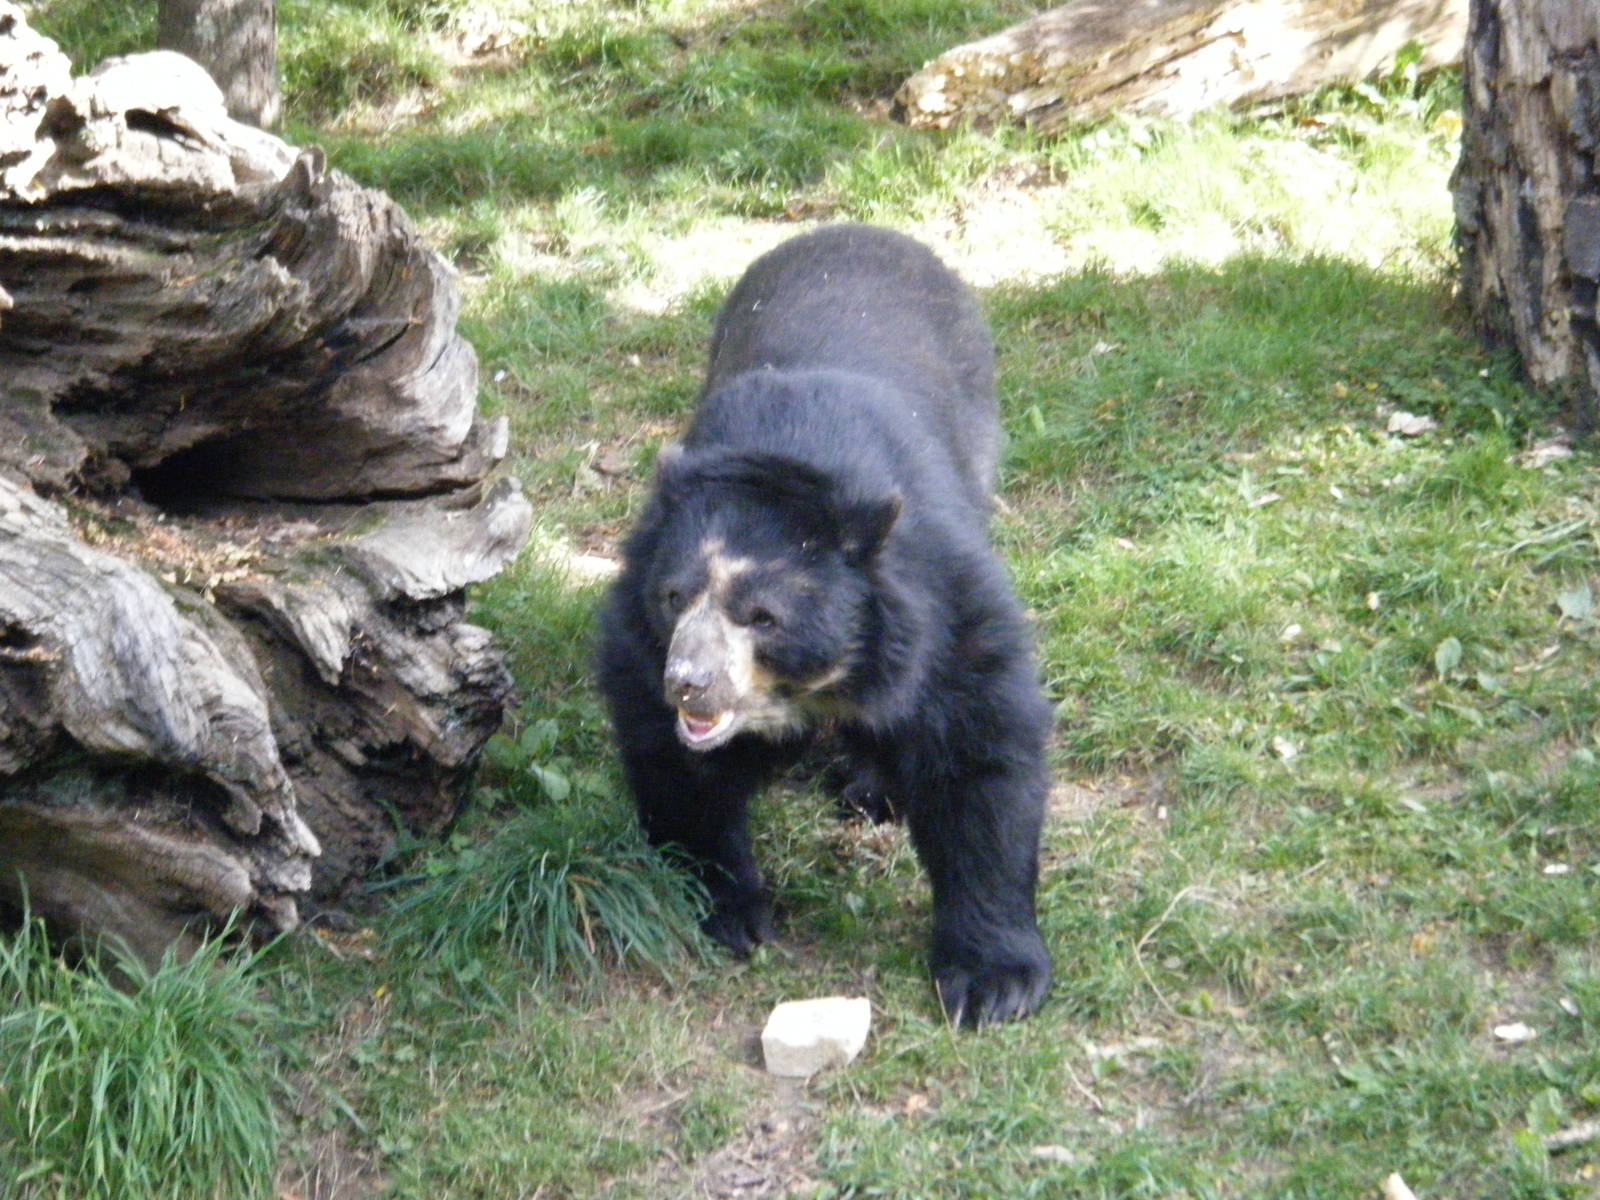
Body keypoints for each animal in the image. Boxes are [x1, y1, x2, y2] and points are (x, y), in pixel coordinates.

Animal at [596, 224, 1052, 1026]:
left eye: (762, 615)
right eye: (675, 597)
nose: (689, 684)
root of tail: (859, 229)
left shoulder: (941, 597)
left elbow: (980, 751)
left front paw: (994, 982)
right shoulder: (639, 630)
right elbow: (679, 770)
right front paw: (732, 912)